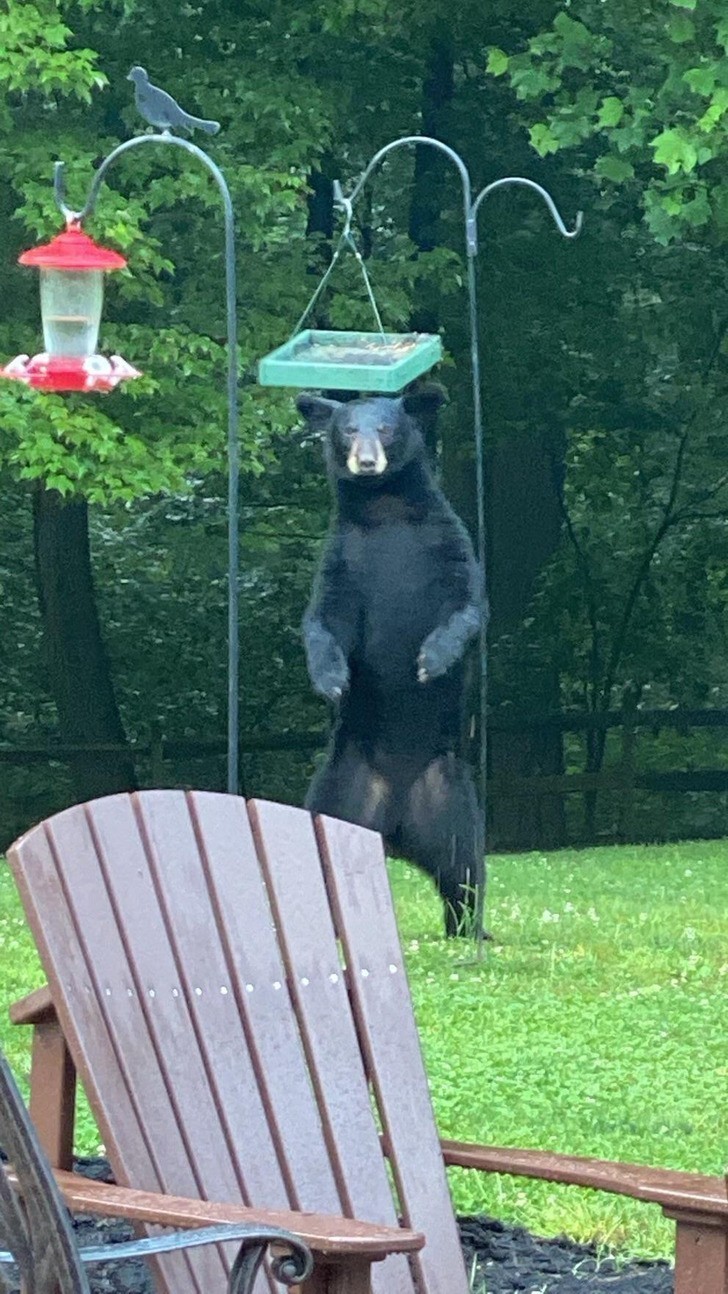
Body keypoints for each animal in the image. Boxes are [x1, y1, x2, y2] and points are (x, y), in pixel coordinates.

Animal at [296, 377, 483, 936]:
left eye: (385, 427)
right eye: (346, 429)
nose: (366, 461)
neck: (386, 513)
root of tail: (395, 829)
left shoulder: (447, 544)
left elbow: (467, 606)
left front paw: (432, 660)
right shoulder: (342, 560)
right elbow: (322, 620)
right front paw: (332, 678)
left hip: (449, 798)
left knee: (465, 867)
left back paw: (470, 927)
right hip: (339, 791)